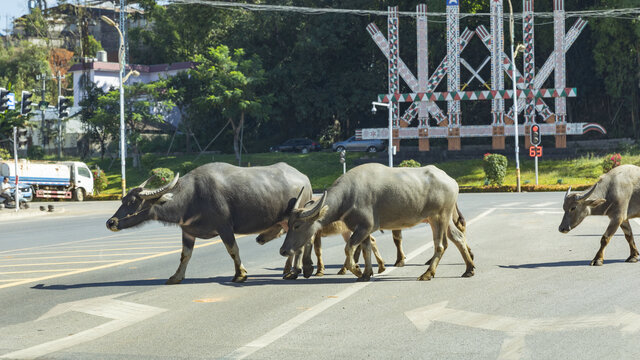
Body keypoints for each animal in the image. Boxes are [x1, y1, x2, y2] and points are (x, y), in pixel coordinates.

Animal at [105, 163, 312, 284]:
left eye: (133, 202)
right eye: (123, 199)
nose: (111, 222)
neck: (192, 197)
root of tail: (306, 179)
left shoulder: (224, 227)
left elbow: (233, 250)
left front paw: (240, 274)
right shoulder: (187, 232)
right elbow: (185, 255)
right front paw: (176, 277)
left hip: (296, 219)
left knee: (299, 244)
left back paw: (295, 272)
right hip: (286, 222)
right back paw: (288, 271)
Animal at [280, 163, 476, 282]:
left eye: (297, 225)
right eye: (289, 224)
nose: (283, 250)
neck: (348, 196)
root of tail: (452, 181)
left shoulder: (366, 226)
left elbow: (349, 248)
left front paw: (356, 270)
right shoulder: (362, 229)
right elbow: (366, 249)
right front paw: (366, 273)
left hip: (439, 218)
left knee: (440, 245)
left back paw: (428, 273)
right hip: (443, 218)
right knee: (458, 237)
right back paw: (469, 269)